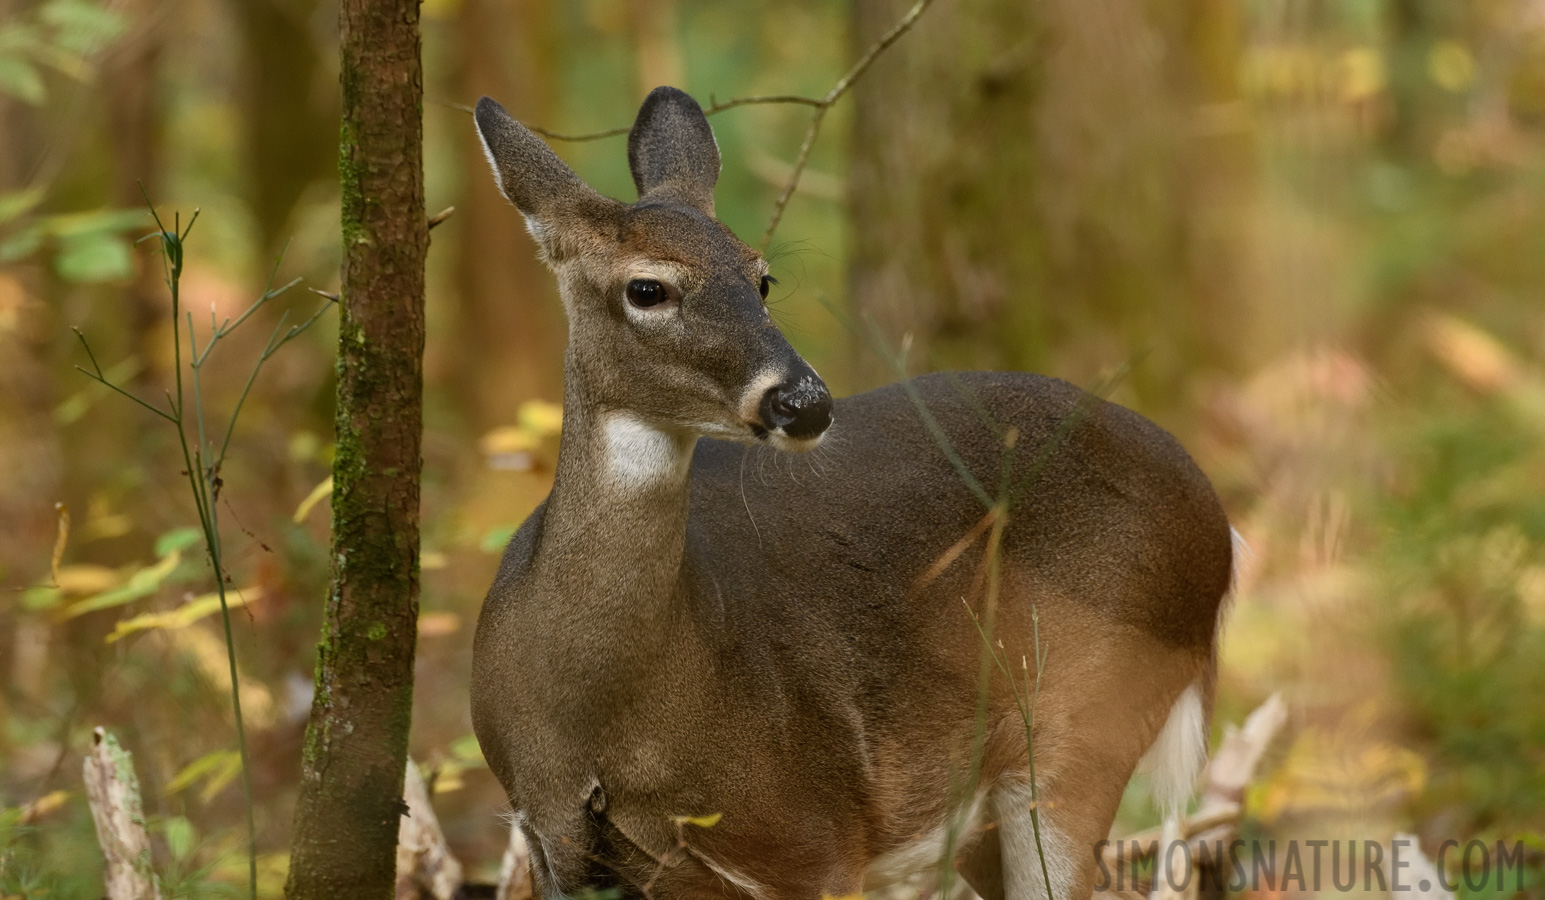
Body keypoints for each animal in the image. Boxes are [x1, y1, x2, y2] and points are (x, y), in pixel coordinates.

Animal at [469, 86, 1229, 900]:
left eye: (761, 278)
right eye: (647, 288)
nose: (802, 402)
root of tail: (1217, 519)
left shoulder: (814, 833)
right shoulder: (553, 840)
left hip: (1088, 718)